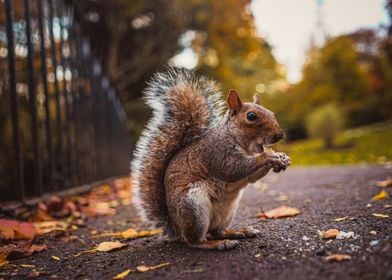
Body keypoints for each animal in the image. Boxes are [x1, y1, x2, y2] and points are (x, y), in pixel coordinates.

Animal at [132, 69, 290, 250]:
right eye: (251, 116)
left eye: (272, 113)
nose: (279, 135)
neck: (244, 146)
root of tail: (176, 228)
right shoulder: (217, 153)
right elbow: (234, 169)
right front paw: (268, 156)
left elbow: (251, 177)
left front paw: (281, 158)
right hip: (194, 208)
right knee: (196, 241)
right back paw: (218, 244)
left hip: (227, 212)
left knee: (217, 231)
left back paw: (237, 232)